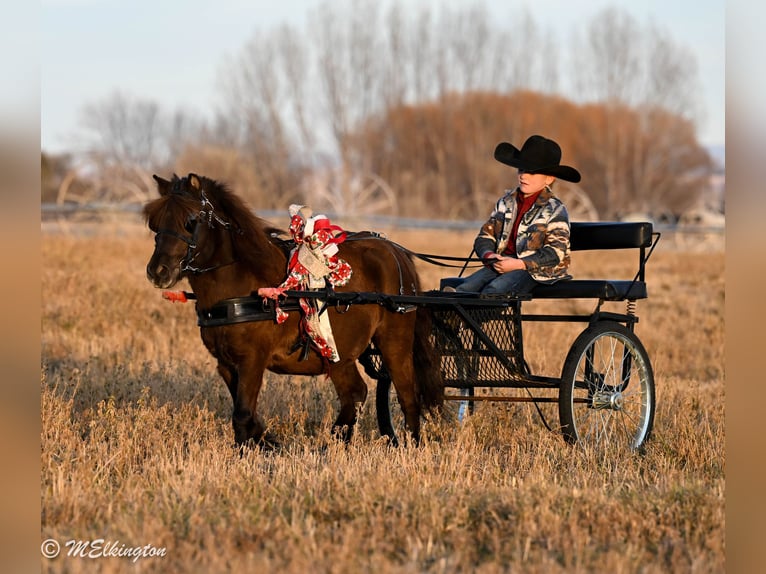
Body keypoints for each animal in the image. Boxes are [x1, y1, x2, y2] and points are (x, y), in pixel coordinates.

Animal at [143, 173, 442, 447]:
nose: (158, 272)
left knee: (407, 395)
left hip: (394, 341)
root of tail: (395, 251)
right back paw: (336, 442)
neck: (244, 280)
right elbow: (246, 417)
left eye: (191, 220)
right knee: (354, 394)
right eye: (154, 223)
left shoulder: (252, 359)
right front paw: (264, 441)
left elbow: (242, 414)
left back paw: (411, 445)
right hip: (337, 352)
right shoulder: (226, 364)